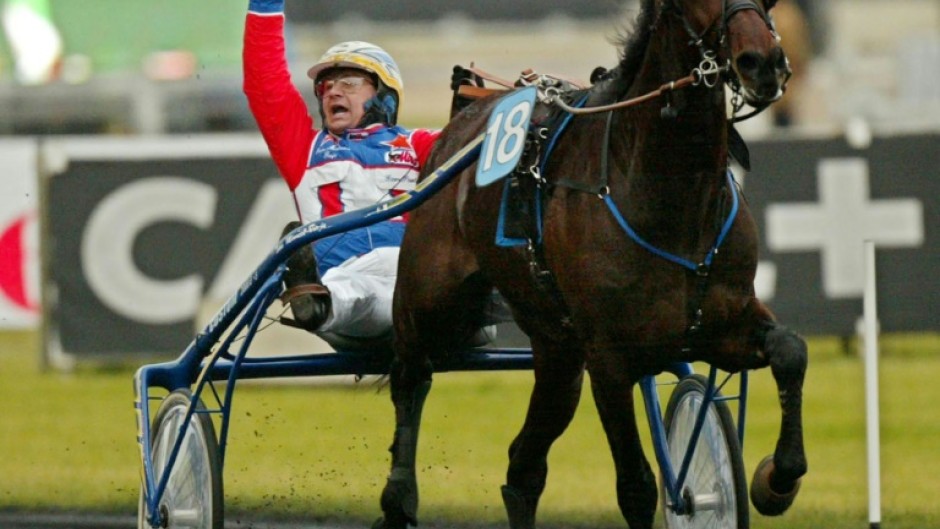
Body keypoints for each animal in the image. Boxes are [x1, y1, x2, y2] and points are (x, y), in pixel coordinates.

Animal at [374, 1, 808, 528]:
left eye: (769, 3)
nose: (762, 62)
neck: (669, 196)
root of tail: (460, 123)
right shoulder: (609, 359)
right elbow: (637, 488)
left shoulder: (721, 324)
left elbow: (790, 350)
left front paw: (777, 480)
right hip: (428, 300)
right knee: (410, 377)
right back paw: (399, 497)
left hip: (557, 351)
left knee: (524, 467)